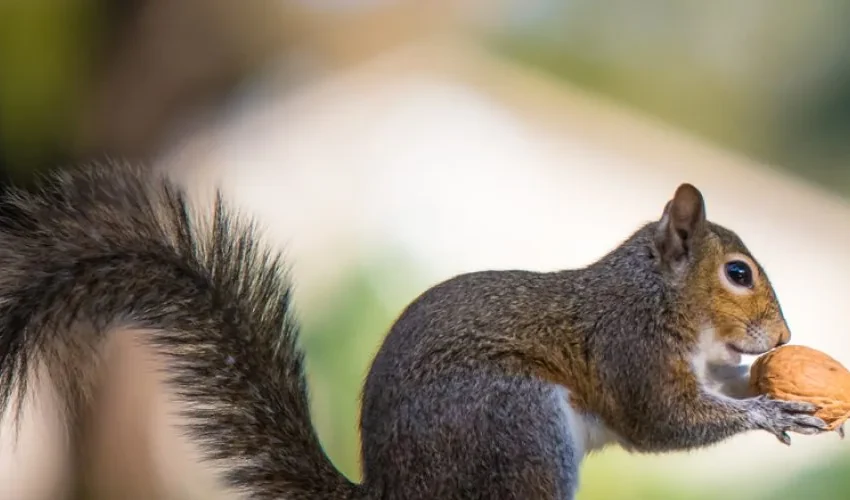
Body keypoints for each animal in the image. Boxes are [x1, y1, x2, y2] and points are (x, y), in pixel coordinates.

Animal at [0, 161, 835, 500]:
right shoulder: (627, 350)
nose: (782, 335)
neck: (654, 298)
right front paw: (769, 409)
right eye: (738, 273)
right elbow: (664, 422)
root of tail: (393, 490)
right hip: (516, 426)